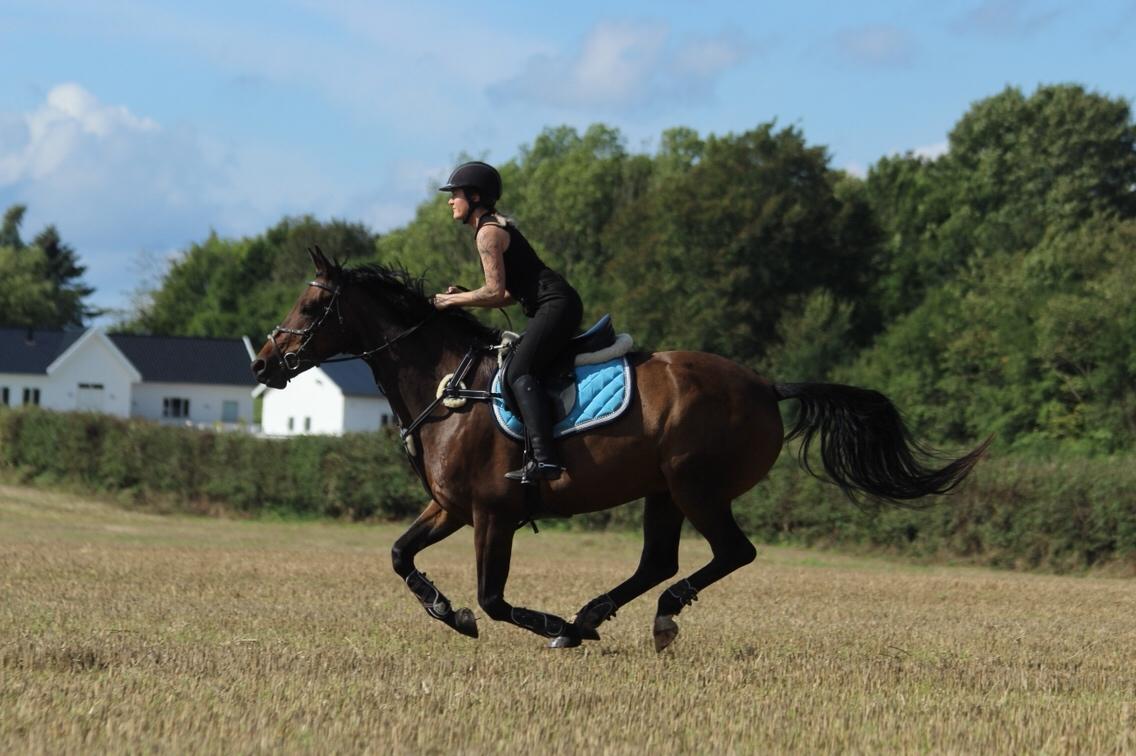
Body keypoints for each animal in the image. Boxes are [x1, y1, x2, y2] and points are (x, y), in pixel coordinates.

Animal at [253, 247, 990, 650]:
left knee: (730, 553)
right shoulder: (452, 508)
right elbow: (401, 555)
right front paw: (448, 612)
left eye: (311, 307)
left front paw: (523, 618)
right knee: (658, 561)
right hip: (662, 491)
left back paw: (639, 620)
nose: (264, 363)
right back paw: (590, 618)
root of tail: (763, 384)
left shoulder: (491, 513)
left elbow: (493, 598)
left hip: (696, 485)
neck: (447, 384)